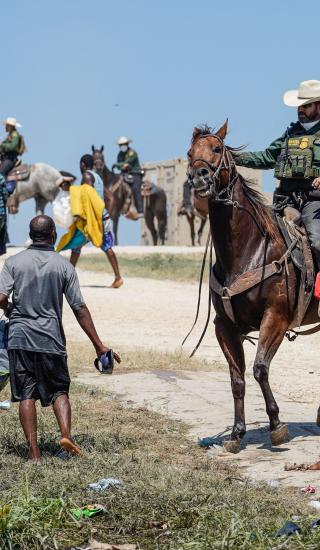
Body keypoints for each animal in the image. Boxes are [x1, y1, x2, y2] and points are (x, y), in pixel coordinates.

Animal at [186, 123, 318, 454]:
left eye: (217, 149)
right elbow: (237, 378)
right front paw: (236, 433)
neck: (248, 251)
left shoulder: (275, 318)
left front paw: (277, 425)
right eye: (190, 153)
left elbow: (260, 368)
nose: (199, 177)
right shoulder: (224, 326)